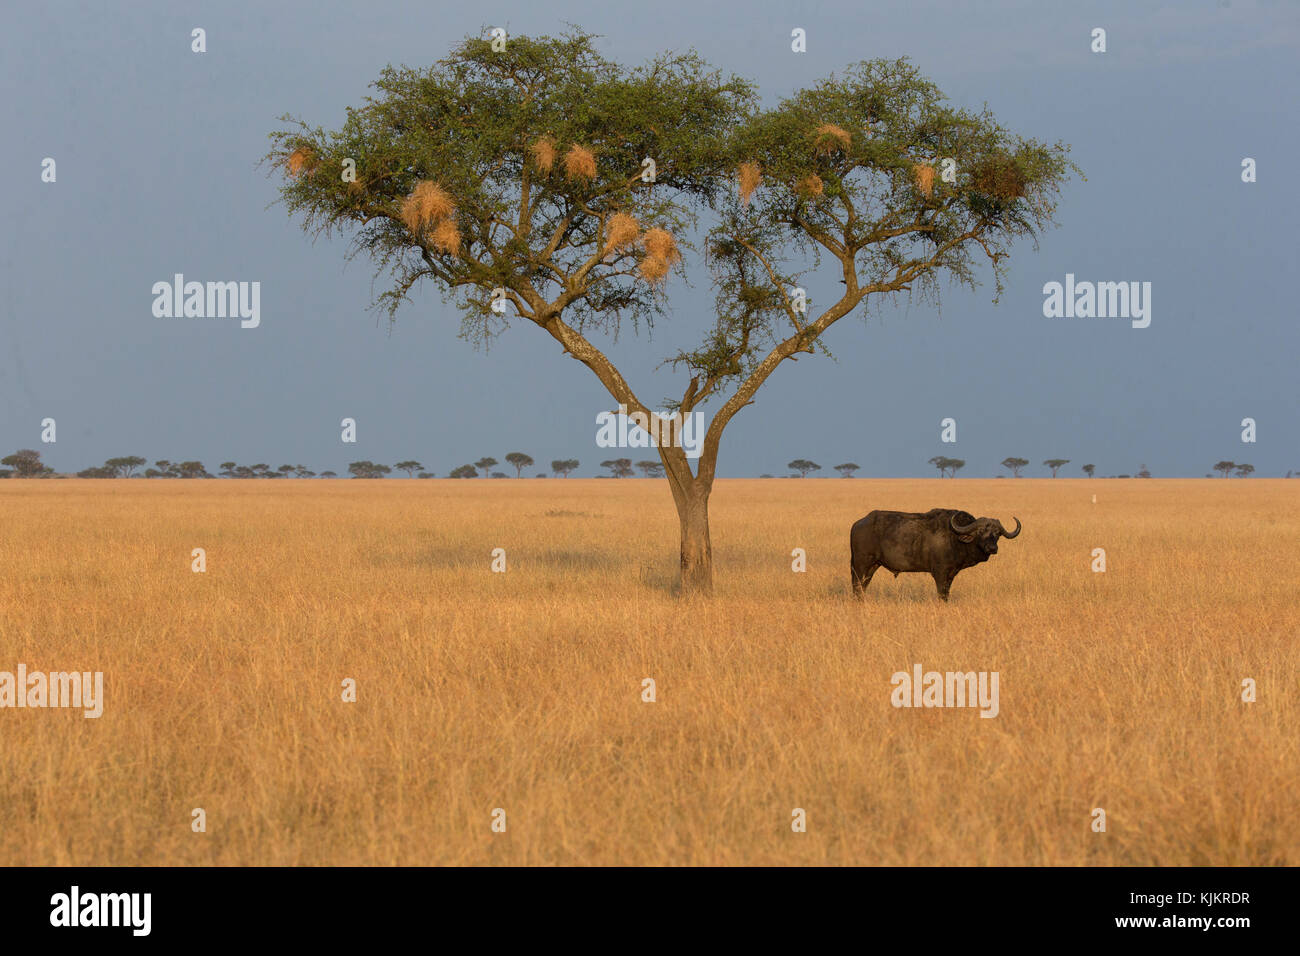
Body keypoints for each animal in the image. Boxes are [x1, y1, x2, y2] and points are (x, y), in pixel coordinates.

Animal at [852, 509, 1024, 598]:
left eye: (997, 533)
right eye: (981, 531)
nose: (992, 548)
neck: (955, 538)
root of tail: (858, 523)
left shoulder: (951, 574)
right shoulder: (940, 573)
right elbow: (942, 594)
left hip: (872, 567)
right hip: (860, 565)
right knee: (857, 586)